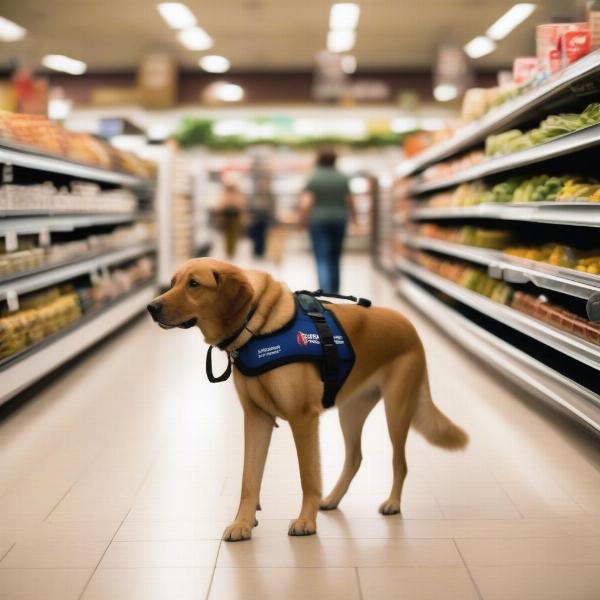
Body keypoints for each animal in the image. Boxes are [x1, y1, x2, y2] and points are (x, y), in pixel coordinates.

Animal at [148, 260, 466, 540]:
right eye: (173, 282)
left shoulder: (302, 418)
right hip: (351, 411)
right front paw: (243, 522)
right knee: (355, 457)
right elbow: (249, 479)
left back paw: (392, 503)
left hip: (397, 410)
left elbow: (308, 476)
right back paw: (333, 499)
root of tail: (409, 324)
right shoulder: (256, 418)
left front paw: (305, 522)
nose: (151, 307)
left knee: (400, 462)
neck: (258, 324)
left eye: (194, 284)